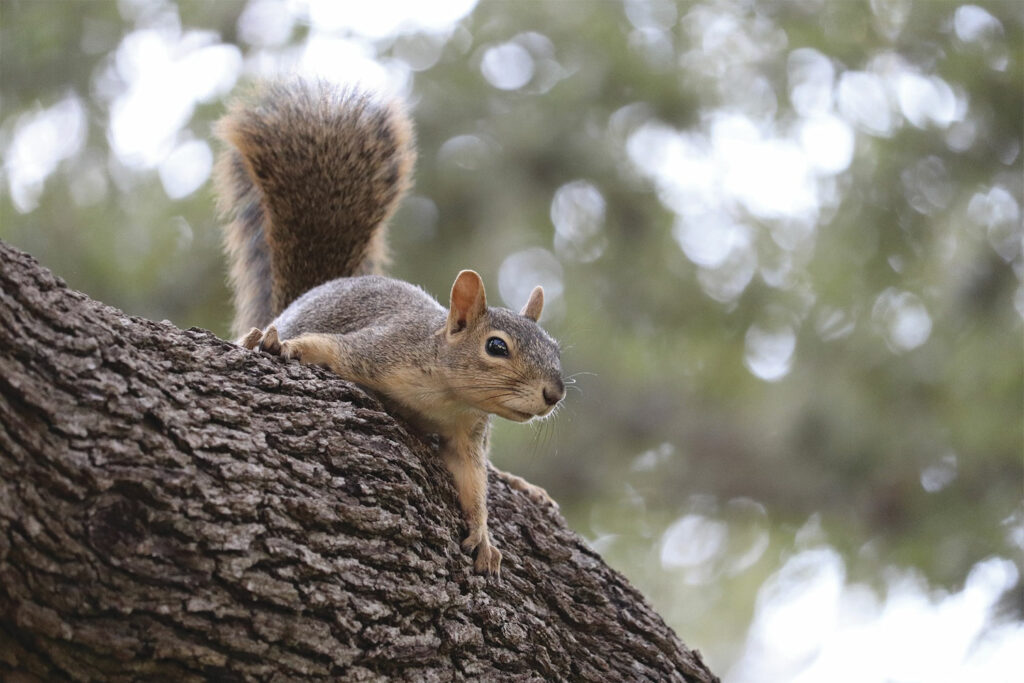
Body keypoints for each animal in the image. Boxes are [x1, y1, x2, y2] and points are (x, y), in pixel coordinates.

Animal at [217, 80, 569, 577]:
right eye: (496, 347)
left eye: (555, 348)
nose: (554, 394)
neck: (446, 393)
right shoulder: (380, 349)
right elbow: (327, 348)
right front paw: (284, 346)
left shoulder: (467, 434)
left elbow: (473, 481)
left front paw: (483, 533)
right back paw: (261, 334)